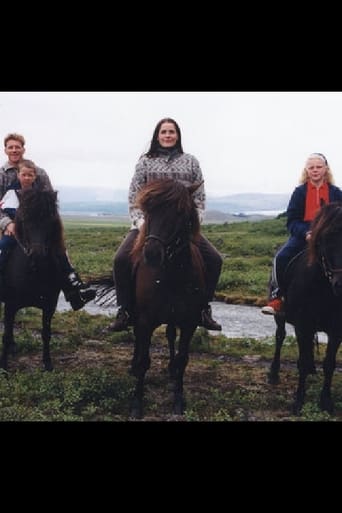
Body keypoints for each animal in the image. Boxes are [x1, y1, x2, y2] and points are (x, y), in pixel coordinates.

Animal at [0, 187, 65, 368]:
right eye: (24, 219)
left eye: (50, 218)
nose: (37, 254)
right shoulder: (10, 304)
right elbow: (5, 335)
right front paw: (4, 366)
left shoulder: (50, 306)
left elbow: (46, 333)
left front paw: (47, 363)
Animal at [126, 178, 204, 418]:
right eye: (148, 210)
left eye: (180, 212)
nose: (151, 253)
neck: (172, 275)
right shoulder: (145, 320)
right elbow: (144, 359)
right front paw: (136, 403)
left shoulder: (189, 322)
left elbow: (182, 359)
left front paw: (178, 400)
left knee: (170, 336)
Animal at [268, 202, 342, 414]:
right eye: (326, 237)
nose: (341, 284)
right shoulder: (303, 324)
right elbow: (300, 362)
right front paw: (299, 401)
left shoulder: (336, 329)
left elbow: (329, 363)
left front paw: (326, 402)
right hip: (281, 317)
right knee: (280, 337)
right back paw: (274, 373)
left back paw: (312, 368)